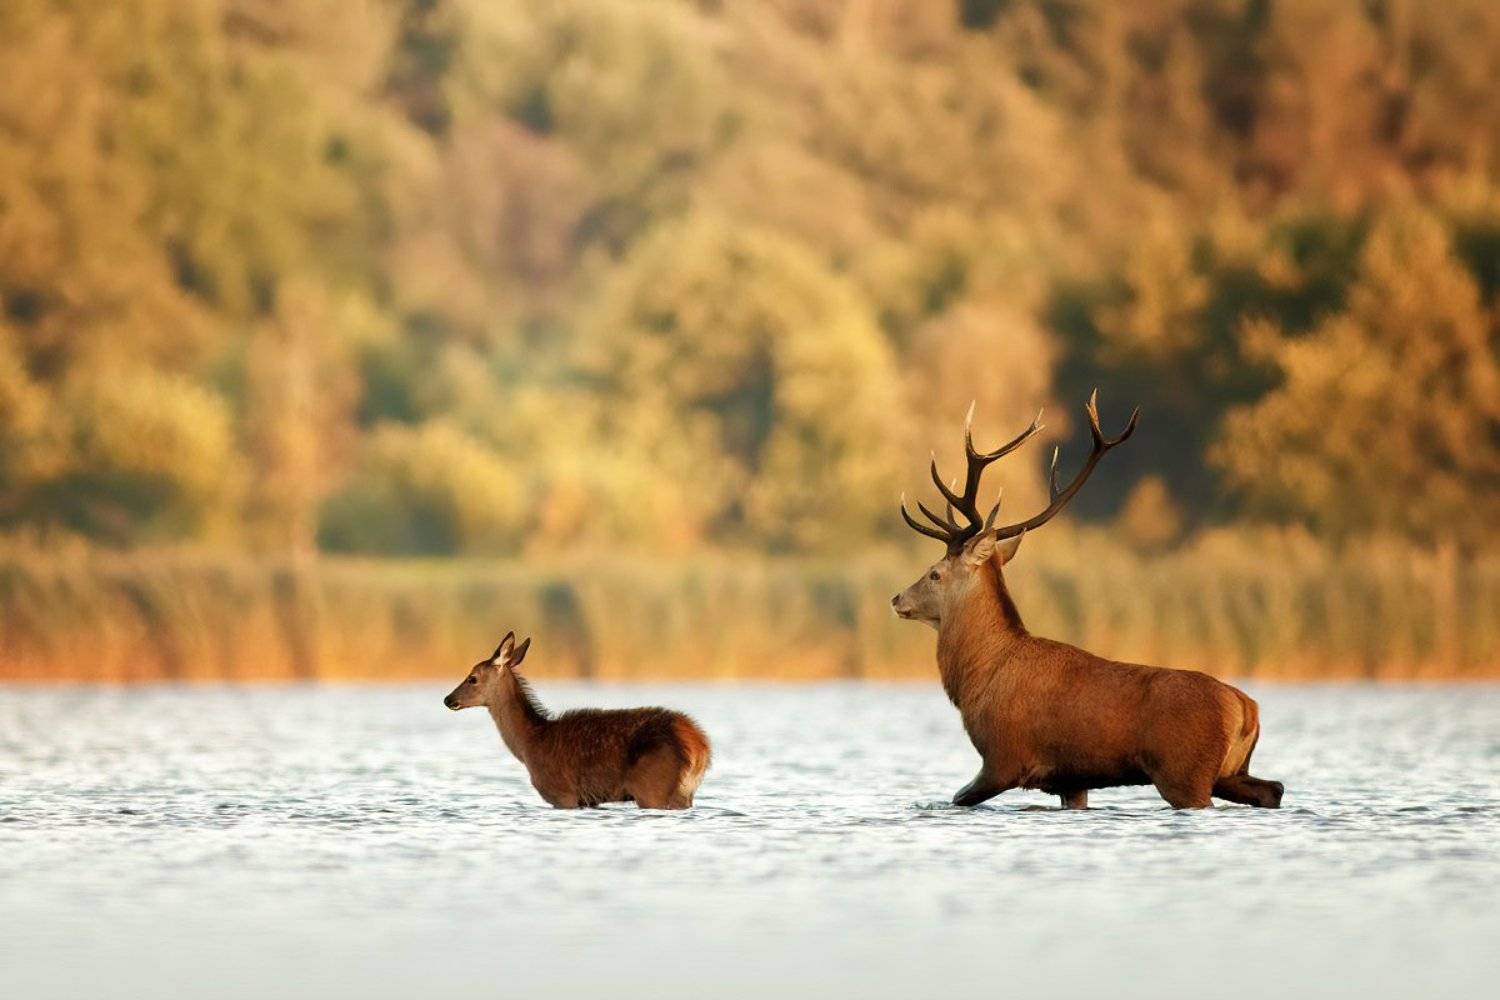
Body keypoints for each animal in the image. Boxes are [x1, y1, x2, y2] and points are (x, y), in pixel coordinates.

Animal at [443, 632, 711, 809]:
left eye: (472, 678)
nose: (448, 699)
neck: (531, 743)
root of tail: (699, 747)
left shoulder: (562, 793)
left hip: (652, 786)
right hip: (683, 793)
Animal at [891, 391, 1284, 811]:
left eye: (935, 572)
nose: (897, 598)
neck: (978, 680)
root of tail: (1246, 708)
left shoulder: (1002, 758)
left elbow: (956, 797)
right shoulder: (1070, 779)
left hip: (1183, 771)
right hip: (1229, 771)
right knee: (1273, 788)